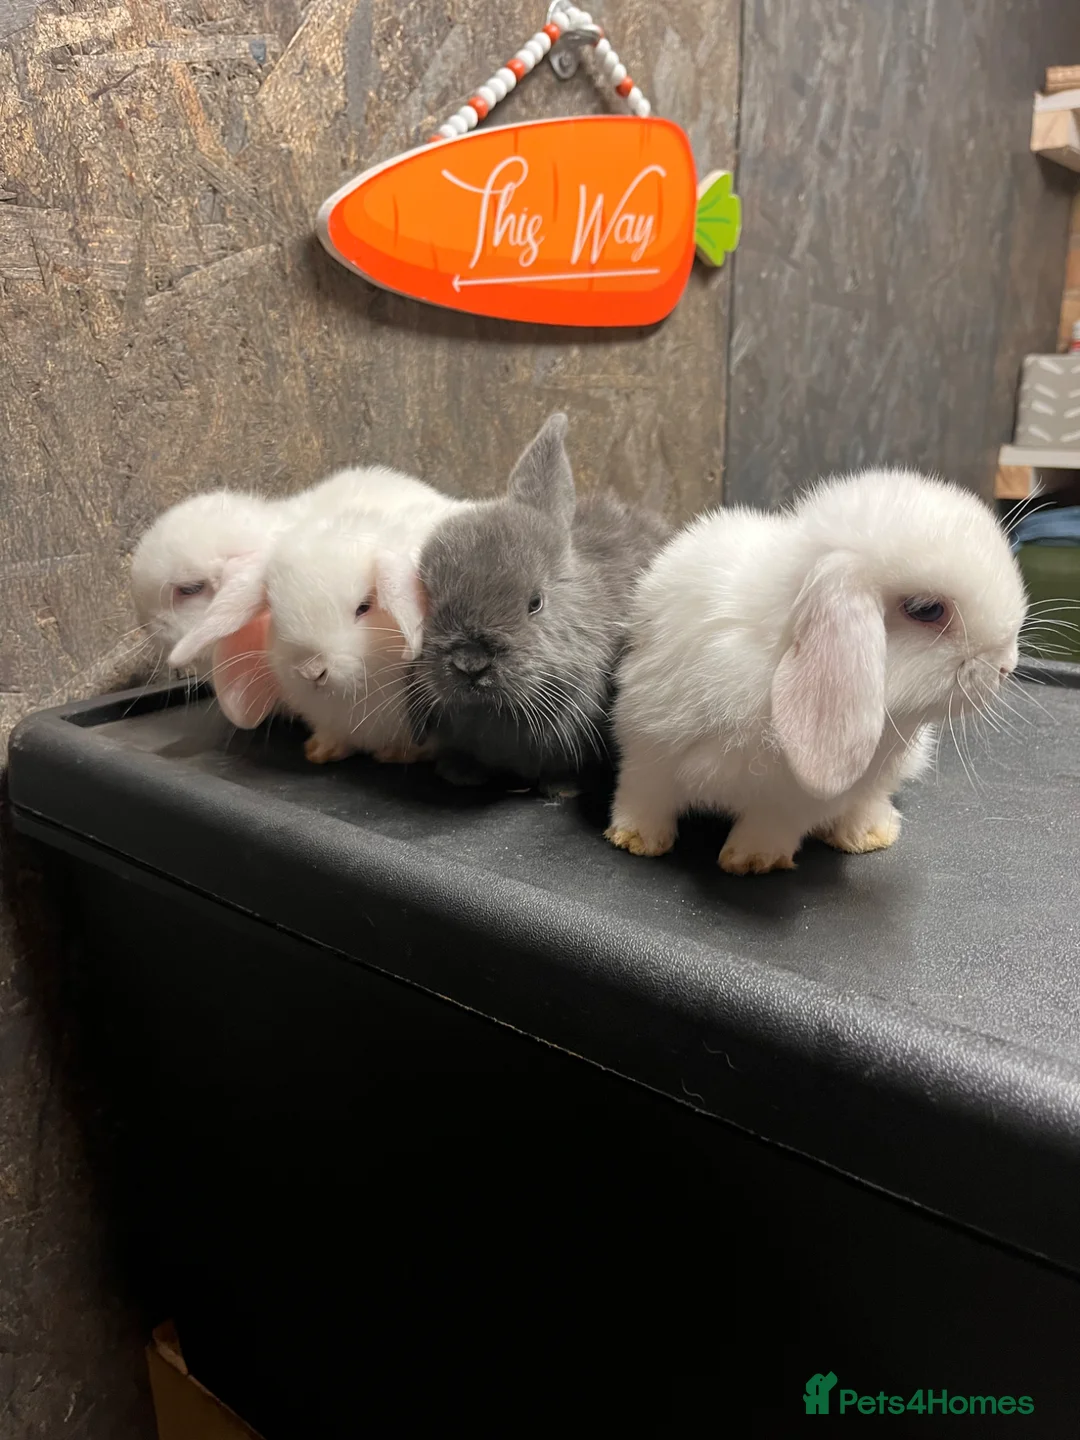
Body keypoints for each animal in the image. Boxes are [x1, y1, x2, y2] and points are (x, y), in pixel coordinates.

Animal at [605, 468, 1028, 875]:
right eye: (926, 609)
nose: (1006, 666)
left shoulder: (794, 798)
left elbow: (771, 824)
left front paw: (752, 862)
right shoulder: (649, 740)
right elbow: (643, 792)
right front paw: (635, 839)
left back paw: (868, 834)